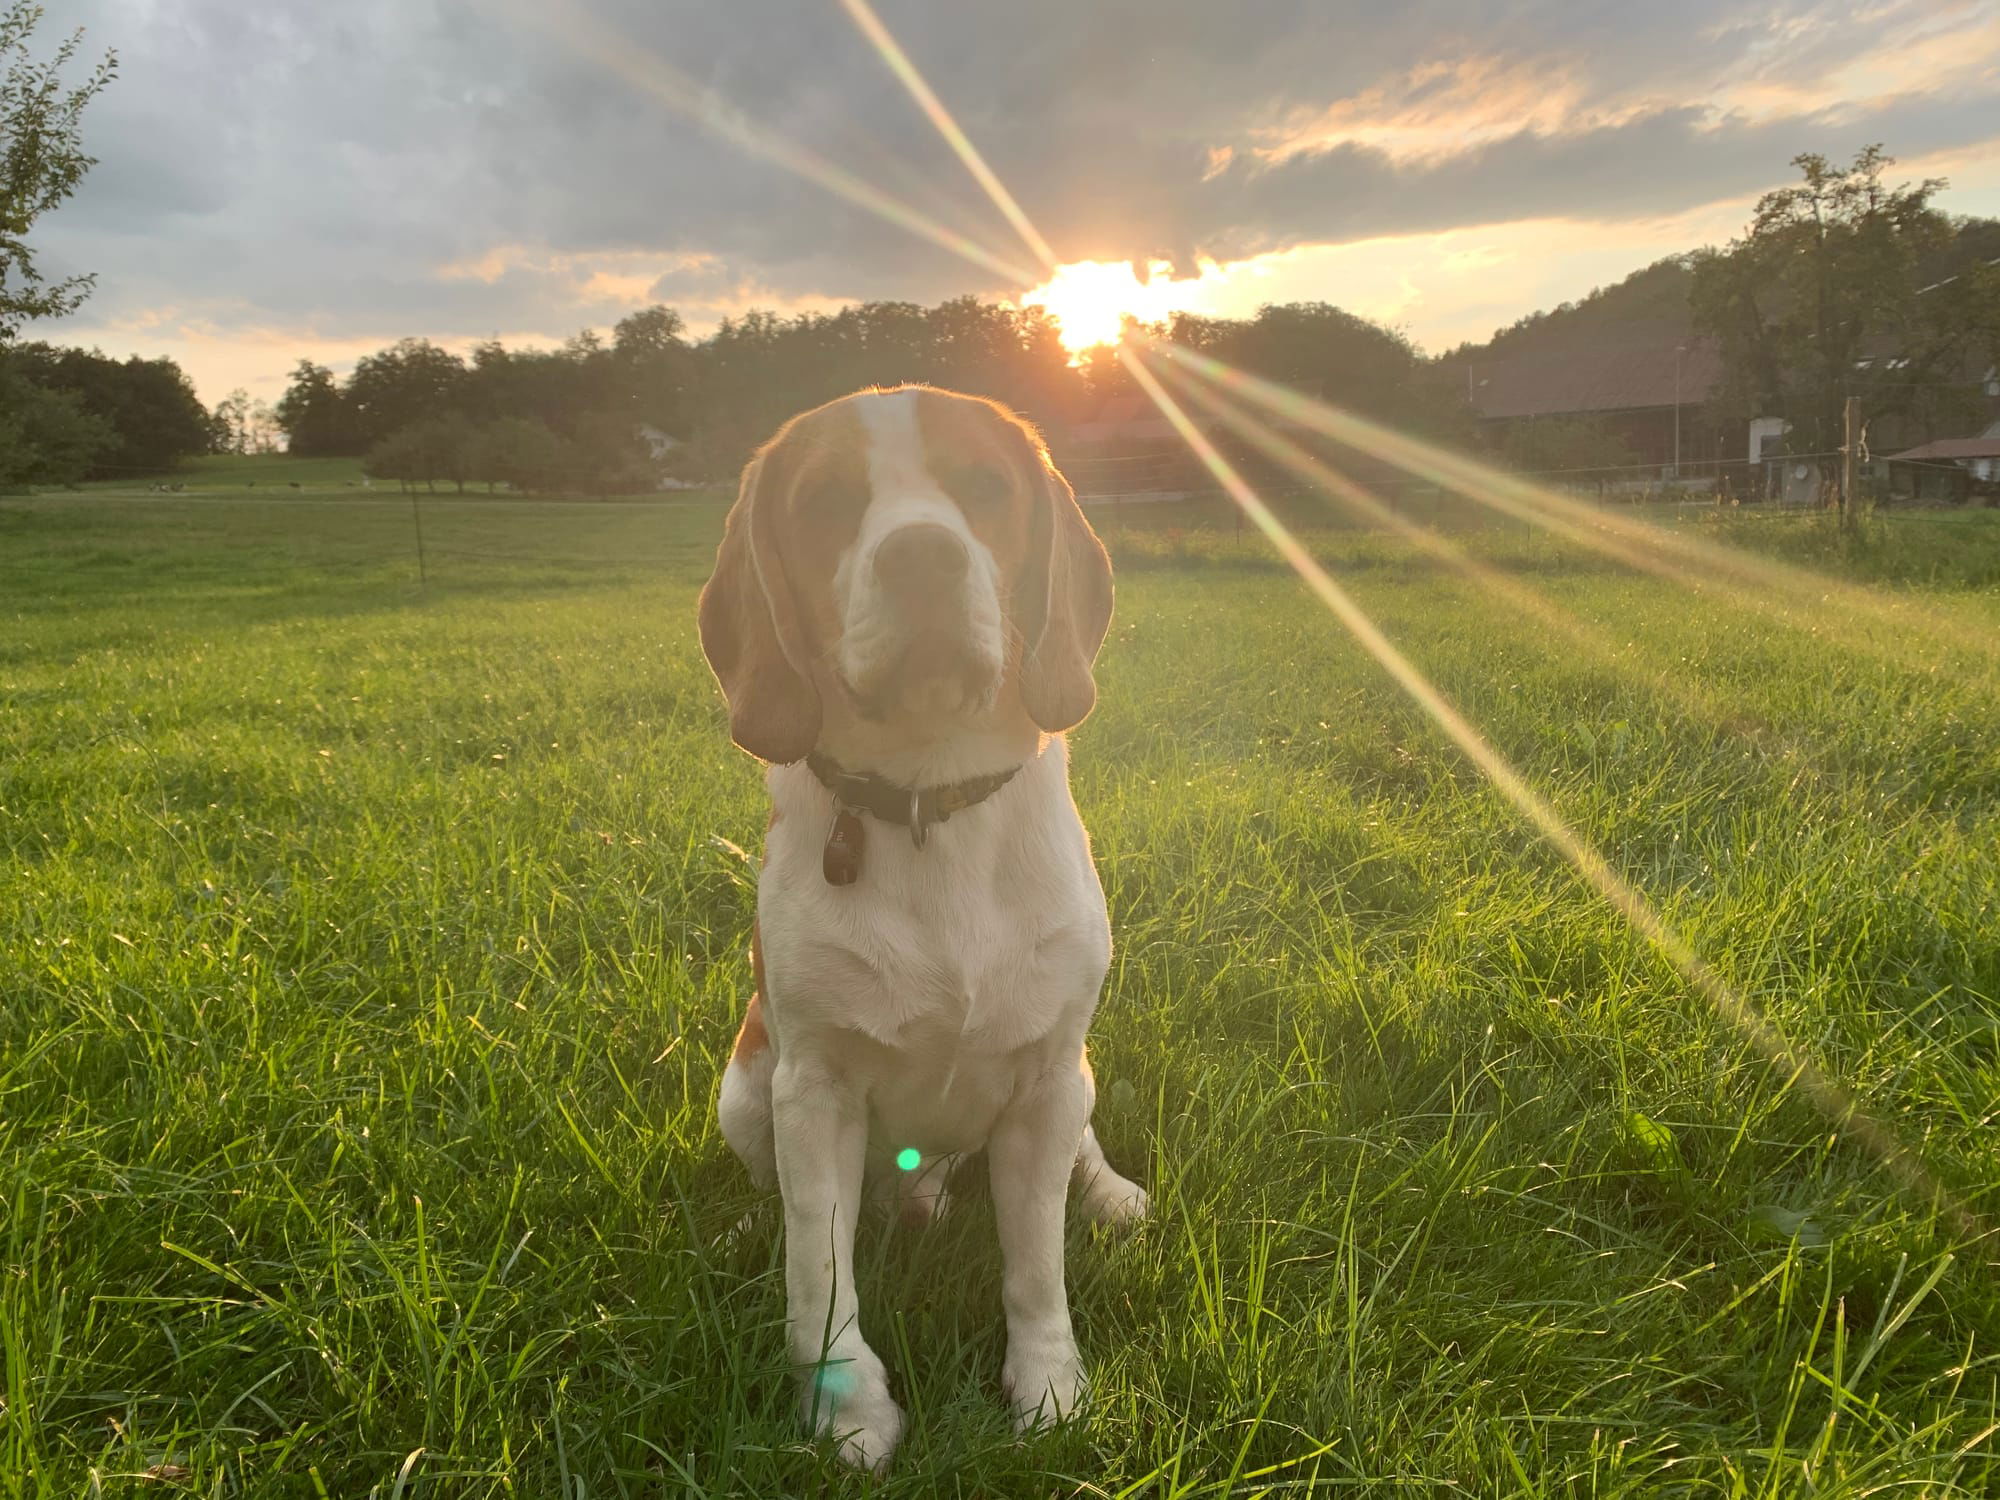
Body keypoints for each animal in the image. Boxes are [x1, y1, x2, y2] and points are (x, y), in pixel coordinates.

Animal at [700, 384, 1144, 1472]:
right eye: (826, 502)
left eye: (984, 488)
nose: (921, 557)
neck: (925, 802)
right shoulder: (812, 1092)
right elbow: (817, 1275)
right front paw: (845, 1408)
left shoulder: (1043, 1083)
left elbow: (1035, 1268)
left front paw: (1050, 1388)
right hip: (744, 1082)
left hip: (1074, 1073)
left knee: (1081, 1144)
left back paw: (1110, 1194)